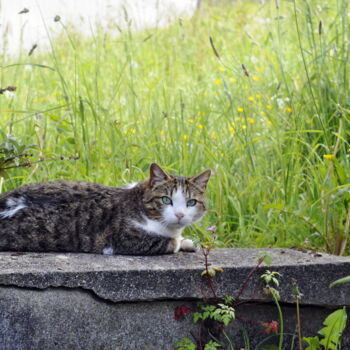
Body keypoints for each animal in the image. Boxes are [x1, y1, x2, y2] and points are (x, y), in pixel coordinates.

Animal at [0, 163, 211, 256]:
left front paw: (187, 242)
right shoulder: (127, 240)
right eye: (166, 199)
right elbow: (170, 243)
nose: (179, 214)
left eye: (191, 202)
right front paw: (180, 242)